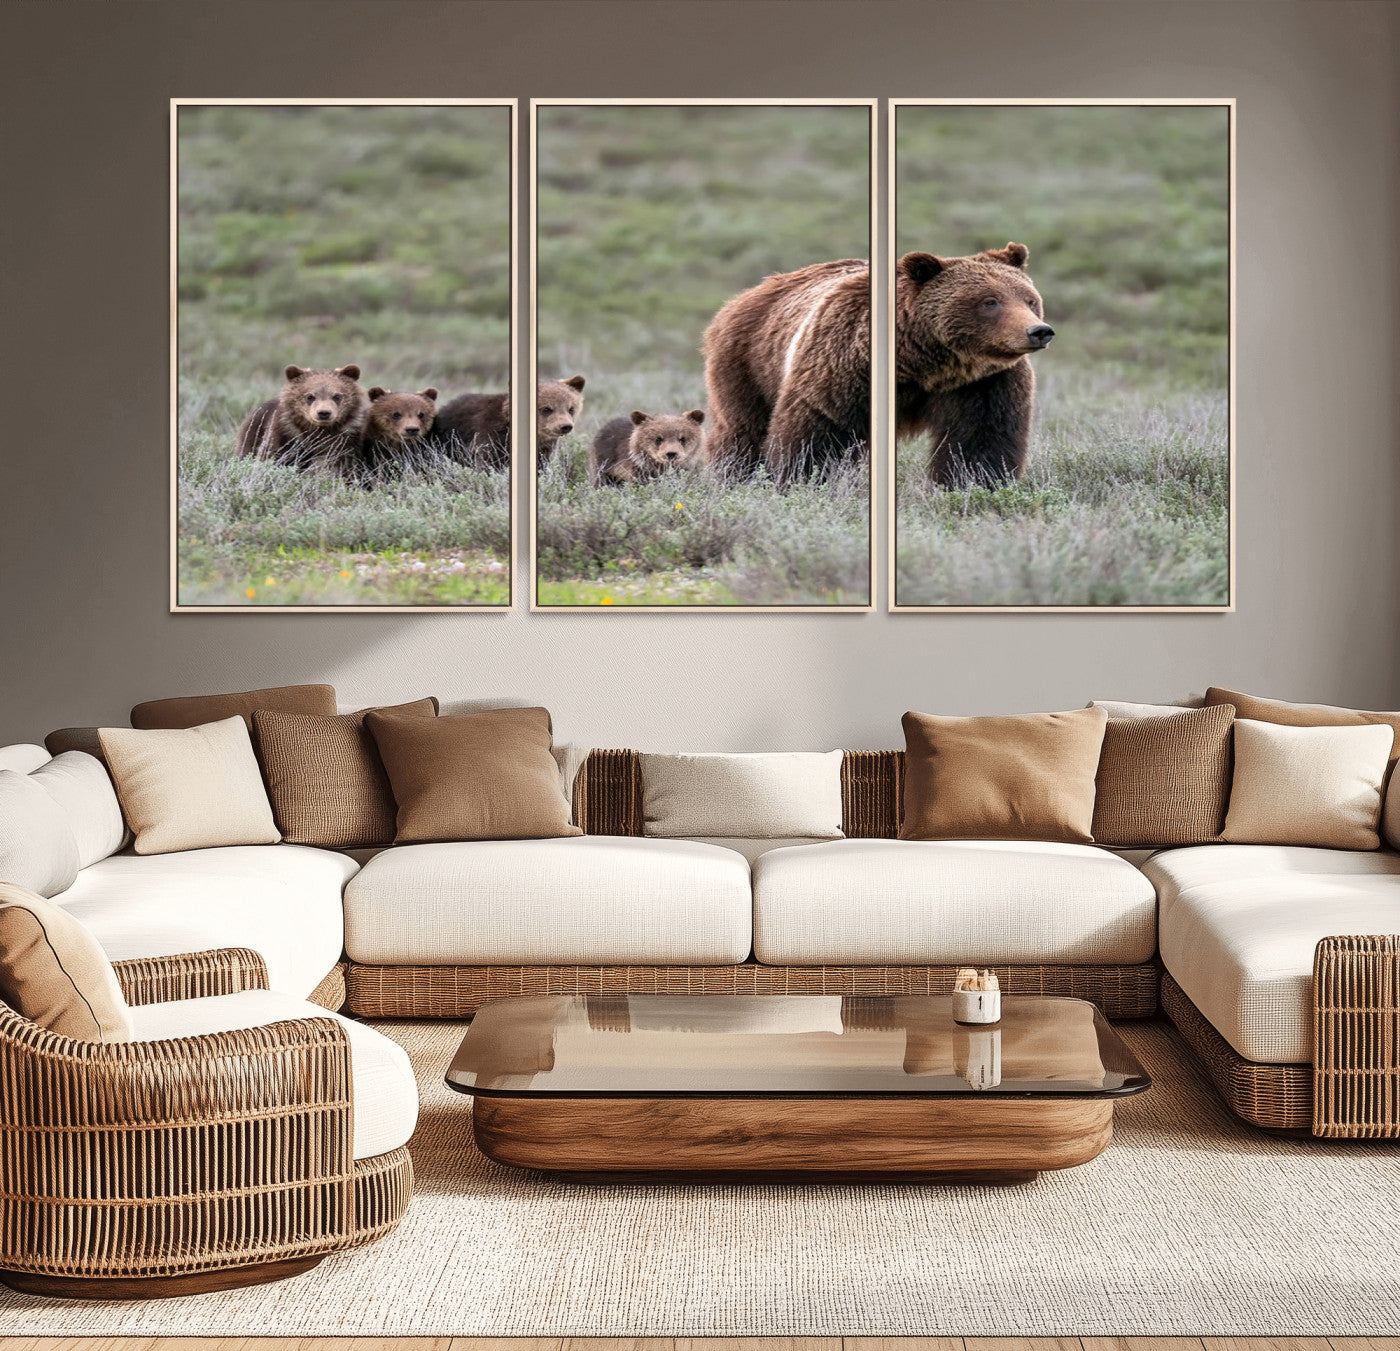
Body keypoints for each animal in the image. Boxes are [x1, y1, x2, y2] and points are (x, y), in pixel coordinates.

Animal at [235, 364, 370, 476]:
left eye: (337, 396)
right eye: (310, 396)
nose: (324, 413)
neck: (318, 430)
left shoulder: (346, 440)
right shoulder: (286, 434)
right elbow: (271, 455)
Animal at [430, 375, 586, 471]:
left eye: (571, 409)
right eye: (546, 409)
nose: (565, 426)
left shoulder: (545, 449)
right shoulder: (490, 435)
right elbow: (488, 463)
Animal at [894, 243, 1054, 487]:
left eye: (1030, 300)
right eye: (990, 302)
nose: (1039, 331)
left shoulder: (985, 383)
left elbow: (981, 442)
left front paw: (973, 482)